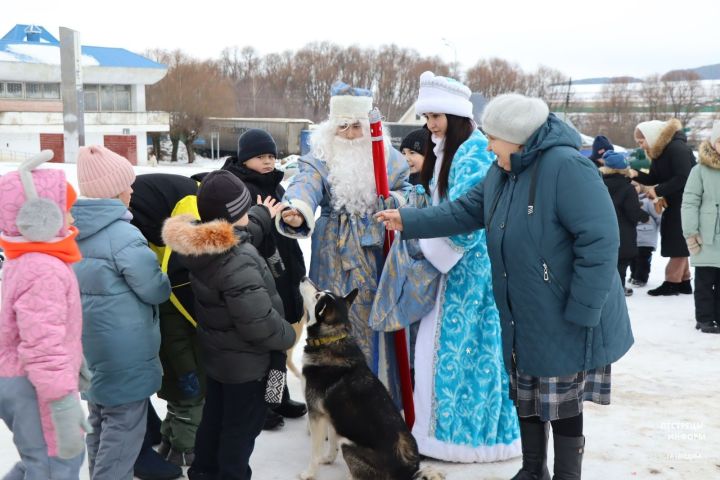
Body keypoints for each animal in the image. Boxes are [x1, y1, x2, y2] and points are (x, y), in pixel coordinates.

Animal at [296, 278, 442, 480]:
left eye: (317, 296)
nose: (303, 278)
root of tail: (407, 472)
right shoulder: (332, 414)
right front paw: (328, 459)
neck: (330, 339)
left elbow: (315, 452)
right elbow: (331, 442)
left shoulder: (316, 413)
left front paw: (309, 473)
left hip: (348, 443)